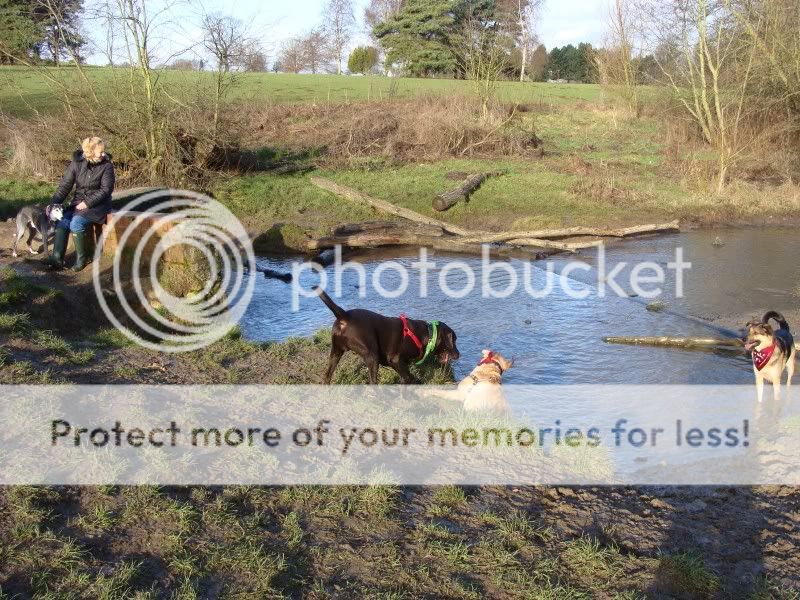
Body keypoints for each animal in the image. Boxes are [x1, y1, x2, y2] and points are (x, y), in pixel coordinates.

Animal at [316, 288, 460, 384]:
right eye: (454, 340)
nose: (459, 355)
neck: (427, 334)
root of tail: (344, 315)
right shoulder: (395, 360)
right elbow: (407, 377)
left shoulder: (402, 364)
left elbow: (406, 377)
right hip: (372, 355)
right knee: (373, 382)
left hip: (335, 352)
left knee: (327, 376)